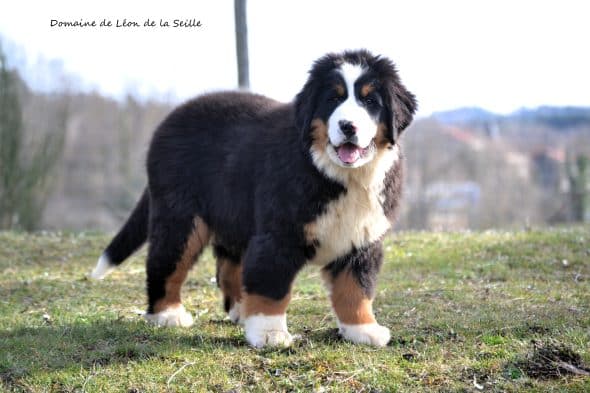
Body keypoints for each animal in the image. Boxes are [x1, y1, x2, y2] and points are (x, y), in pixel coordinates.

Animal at [90, 49, 418, 346]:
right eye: (333, 99)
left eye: (370, 101)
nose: (348, 126)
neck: (336, 174)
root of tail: (171, 119)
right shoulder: (278, 234)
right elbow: (271, 286)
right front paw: (270, 333)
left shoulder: (361, 238)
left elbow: (356, 288)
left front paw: (363, 329)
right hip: (181, 216)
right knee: (166, 262)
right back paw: (167, 314)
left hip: (234, 214)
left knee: (228, 266)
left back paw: (239, 309)